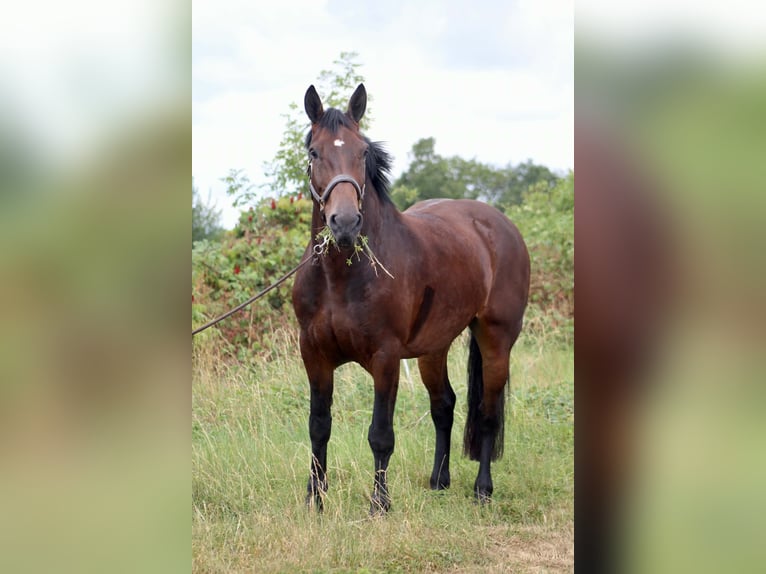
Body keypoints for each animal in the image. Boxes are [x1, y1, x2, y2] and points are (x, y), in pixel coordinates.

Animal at [291, 84, 530, 515]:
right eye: (314, 152)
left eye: (363, 152)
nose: (345, 223)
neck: (340, 276)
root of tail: (498, 224)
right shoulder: (313, 354)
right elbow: (319, 427)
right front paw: (314, 500)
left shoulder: (385, 357)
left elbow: (380, 434)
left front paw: (379, 504)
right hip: (433, 348)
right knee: (444, 406)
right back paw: (438, 481)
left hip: (496, 339)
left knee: (488, 412)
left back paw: (482, 489)